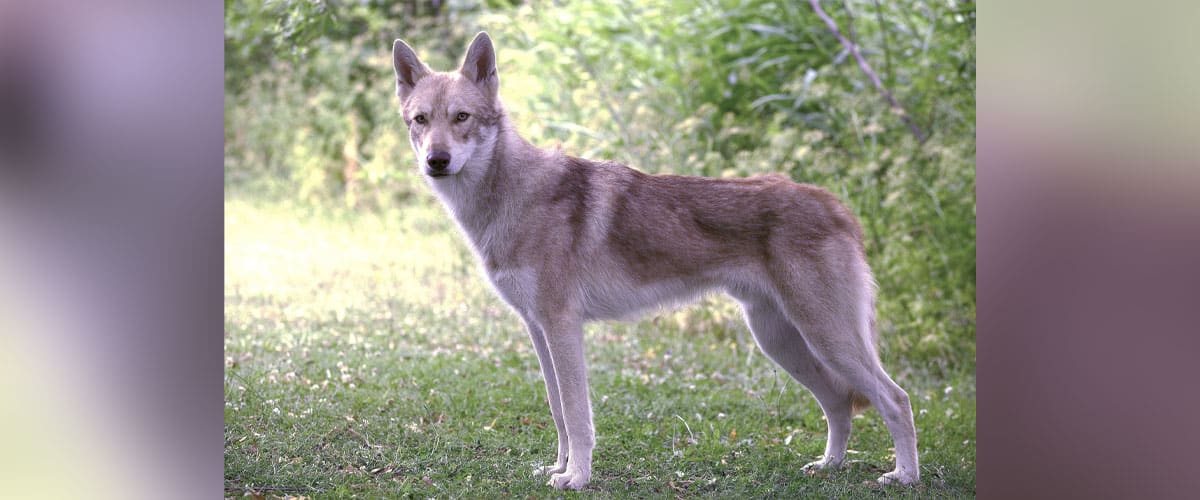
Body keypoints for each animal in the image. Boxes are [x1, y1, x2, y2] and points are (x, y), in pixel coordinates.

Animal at [393, 32, 916, 491]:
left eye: (461, 117)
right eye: (420, 120)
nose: (436, 160)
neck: (511, 195)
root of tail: (837, 205)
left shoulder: (563, 328)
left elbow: (578, 417)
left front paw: (576, 478)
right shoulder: (538, 330)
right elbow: (558, 413)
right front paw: (557, 468)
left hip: (825, 338)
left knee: (897, 399)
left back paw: (904, 477)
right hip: (783, 342)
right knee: (840, 405)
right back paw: (829, 466)